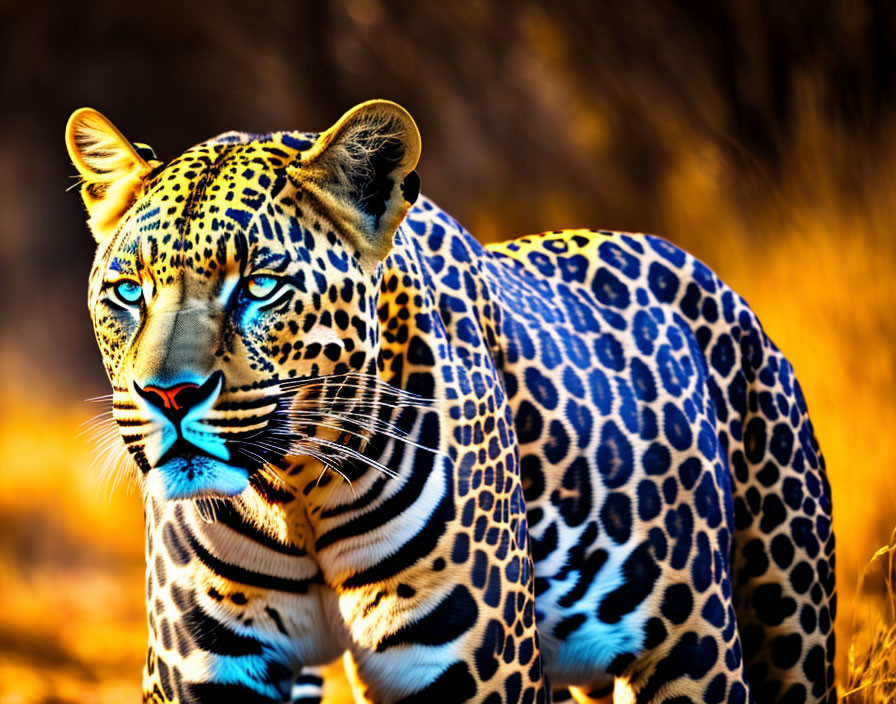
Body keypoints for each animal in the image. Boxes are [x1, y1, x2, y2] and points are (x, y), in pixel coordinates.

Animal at [66, 100, 836, 704]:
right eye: (127, 291)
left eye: (258, 286)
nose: (168, 394)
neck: (292, 493)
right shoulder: (203, 669)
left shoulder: (474, 671)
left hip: (752, 625)